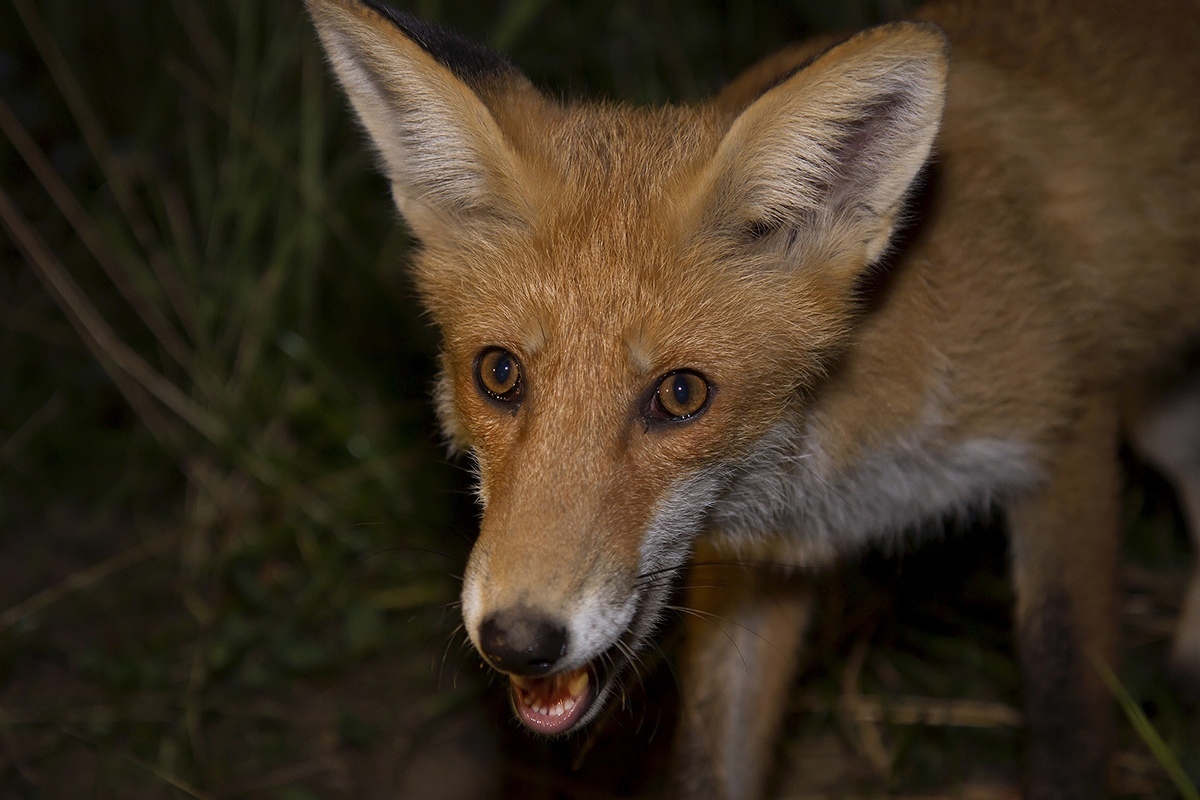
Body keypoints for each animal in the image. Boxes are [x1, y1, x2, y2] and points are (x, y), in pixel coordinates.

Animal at [307, 0, 1200, 796]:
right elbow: (714, 763)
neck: (826, 469)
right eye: (498, 375)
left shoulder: (1068, 437)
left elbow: (1067, 711)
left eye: (681, 394)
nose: (519, 640)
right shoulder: (757, 569)